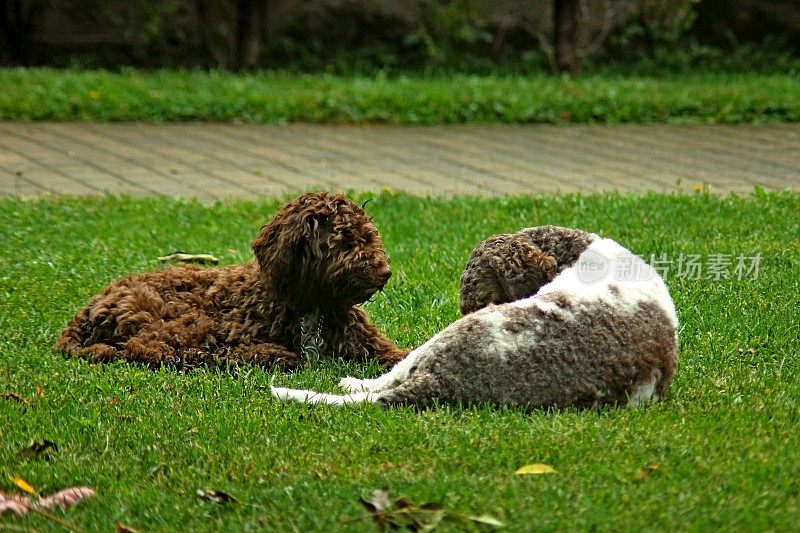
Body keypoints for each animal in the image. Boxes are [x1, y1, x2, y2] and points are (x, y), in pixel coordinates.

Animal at [54, 191, 412, 370]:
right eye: (344, 240)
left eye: (368, 236)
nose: (385, 272)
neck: (311, 304)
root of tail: (88, 309)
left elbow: (398, 354)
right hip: (178, 317)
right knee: (142, 348)